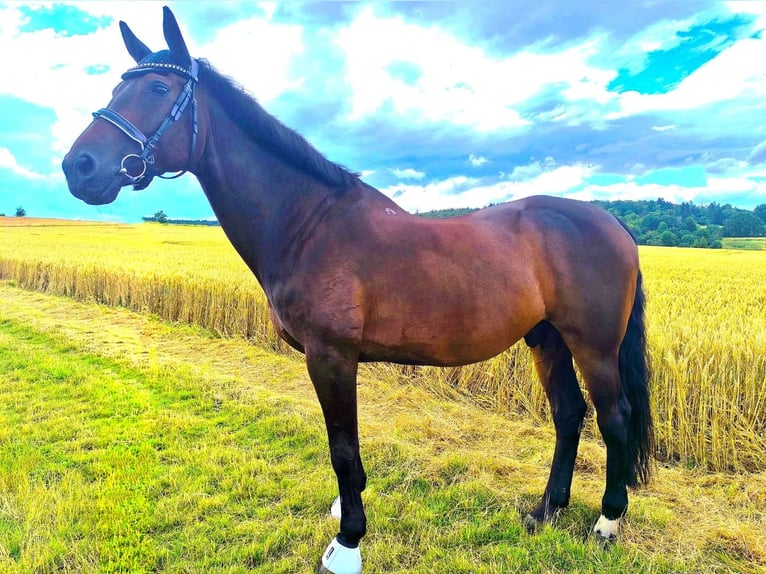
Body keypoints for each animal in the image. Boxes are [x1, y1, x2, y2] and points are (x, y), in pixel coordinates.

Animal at [63, 9, 656, 574]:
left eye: (157, 89)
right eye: (116, 88)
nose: (78, 167)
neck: (309, 223)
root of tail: (615, 225)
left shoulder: (331, 355)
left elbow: (343, 448)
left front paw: (347, 543)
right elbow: (342, 448)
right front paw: (344, 511)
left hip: (593, 346)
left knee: (614, 418)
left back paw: (607, 522)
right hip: (547, 338)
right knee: (569, 414)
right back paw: (546, 509)